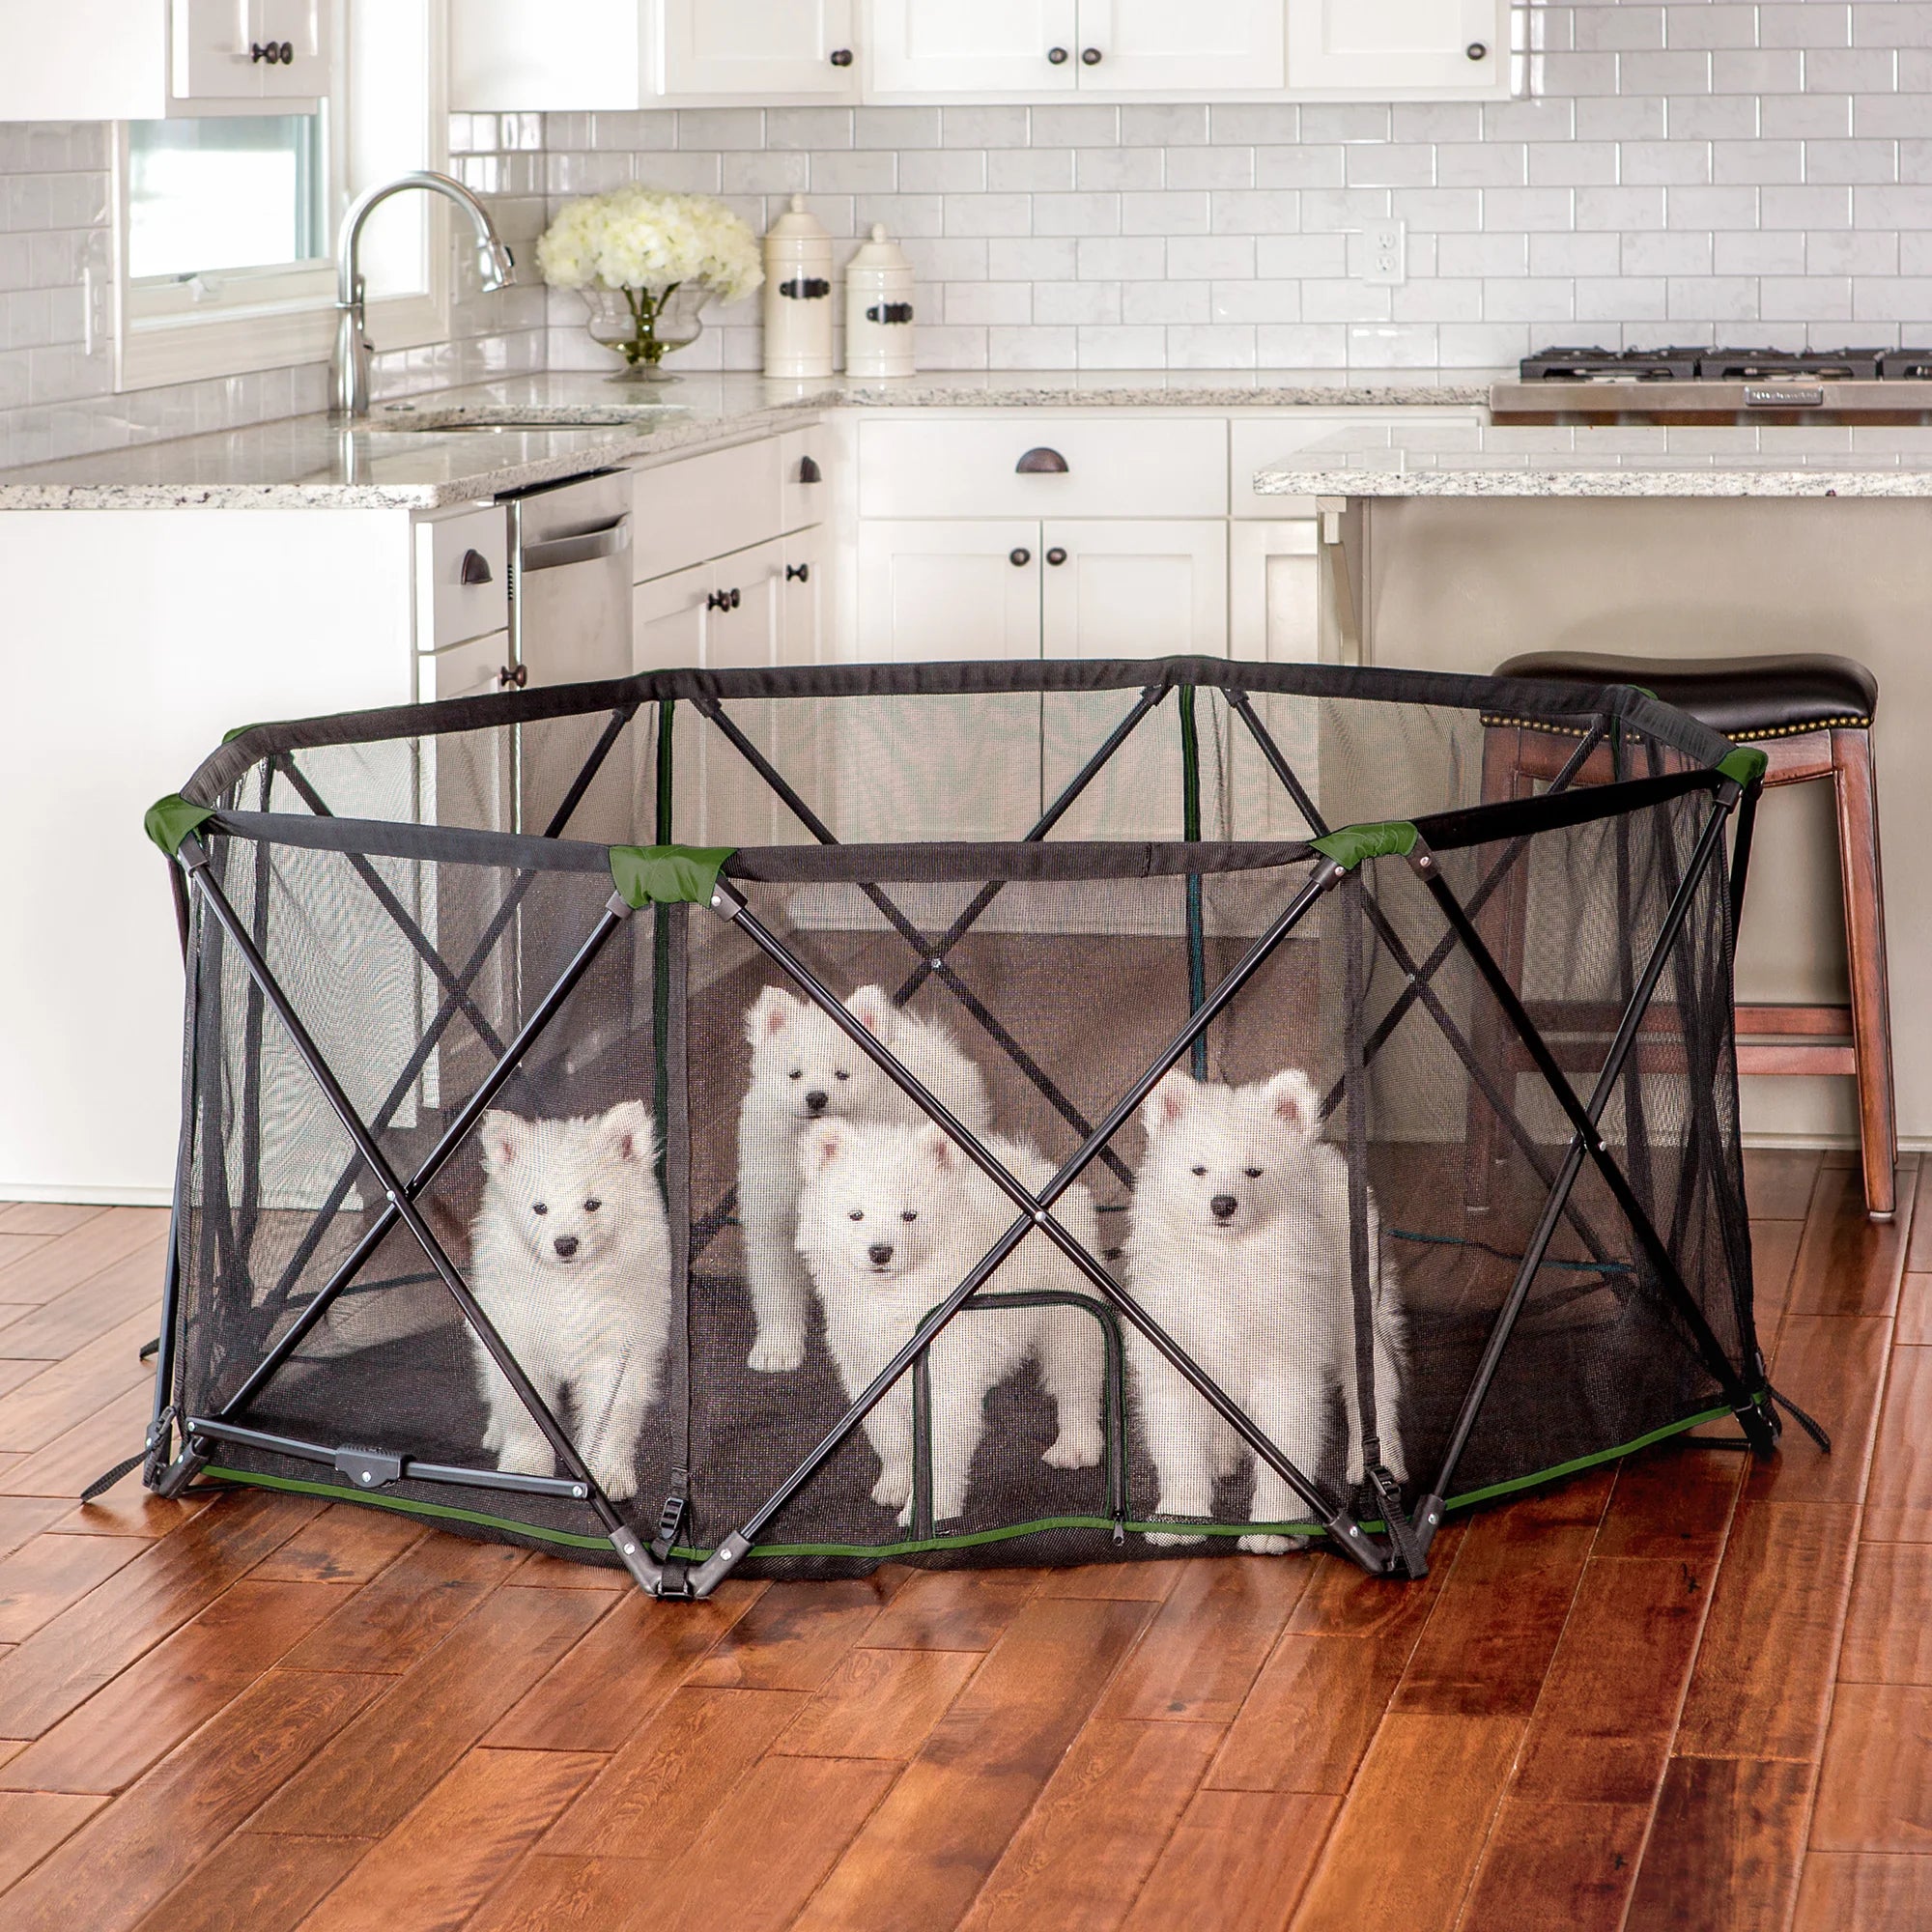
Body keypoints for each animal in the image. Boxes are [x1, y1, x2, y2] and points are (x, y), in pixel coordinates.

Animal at [468, 1105, 672, 1492]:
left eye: (592, 1204)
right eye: (539, 1208)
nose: (565, 1244)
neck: (568, 1285)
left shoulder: (616, 1351)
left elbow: (610, 1419)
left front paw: (608, 1473)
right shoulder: (517, 1347)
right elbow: (524, 1417)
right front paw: (526, 1467)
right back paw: (495, 1433)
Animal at [730, 981, 989, 1376]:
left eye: (842, 1074)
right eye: (794, 1074)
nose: (816, 1096)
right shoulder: (772, 1220)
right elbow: (777, 1289)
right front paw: (777, 1348)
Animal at [796, 1121, 1105, 1522]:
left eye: (909, 1215)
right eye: (856, 1215)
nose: (880, 1251)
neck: (896, 1296)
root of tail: (1032, 1168)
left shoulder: (948, 1374)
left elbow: (941, 1449)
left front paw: (932, 1509)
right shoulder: (868, 1368)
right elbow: (890, 1436)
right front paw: (895, 1486)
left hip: (1070, 1318)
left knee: (1077, 1383)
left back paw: (1076, 1447)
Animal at [1121, 1066, 1406, 1561]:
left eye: (1254, 1171)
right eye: (1198, 1170)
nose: (1223, 1204)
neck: (1228, 1260)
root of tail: (1323, 1151)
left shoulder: (1287, 1366)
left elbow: (1283, 1452)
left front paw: (1275, 1528)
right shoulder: (1172, 1358)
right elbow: (1181, 1450)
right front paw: (1181, 1520)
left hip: (1355, 1314)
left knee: (1374, 1387)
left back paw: (1376, 1462)